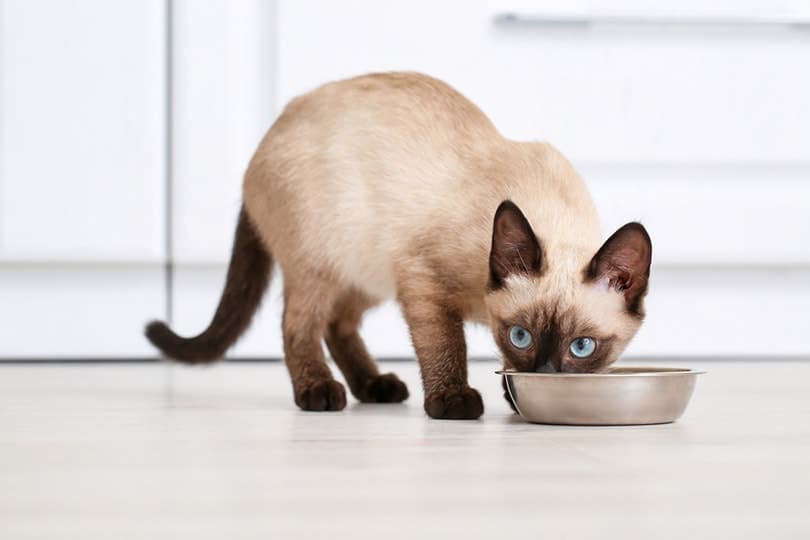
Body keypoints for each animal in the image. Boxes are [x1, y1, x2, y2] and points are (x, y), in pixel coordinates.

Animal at [145, 71, 652, 420]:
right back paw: (319, 392)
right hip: (322, 262)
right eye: (522, 336)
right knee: (299, 325)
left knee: (338, 324)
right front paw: (453, 400)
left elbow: (498, 365)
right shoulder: (423, 283)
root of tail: (272, 131)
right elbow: (445, 347)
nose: (545, 375)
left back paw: (375, 386)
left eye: (582, 347)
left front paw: (515, 399)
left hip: (366, 273)